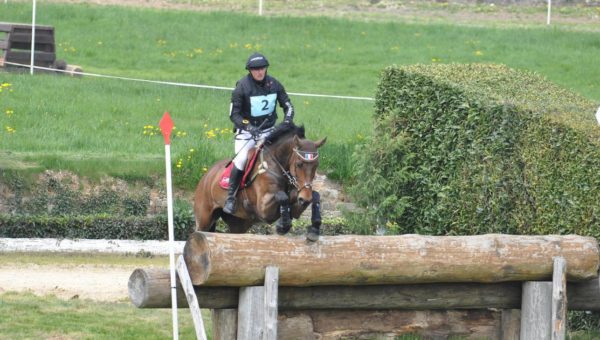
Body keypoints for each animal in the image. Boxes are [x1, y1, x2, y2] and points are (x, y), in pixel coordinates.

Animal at [193, 122, 326, 242]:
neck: (276, 165)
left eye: (316, 165)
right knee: (200, 230)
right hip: (204, 217)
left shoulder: (297, 201)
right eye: (299, 164)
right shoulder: (264, 209)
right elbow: (282, 196)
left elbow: (315, 196)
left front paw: (315, 228)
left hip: (239, 223)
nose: (305, 198)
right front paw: (283, 225)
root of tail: (206, 175)